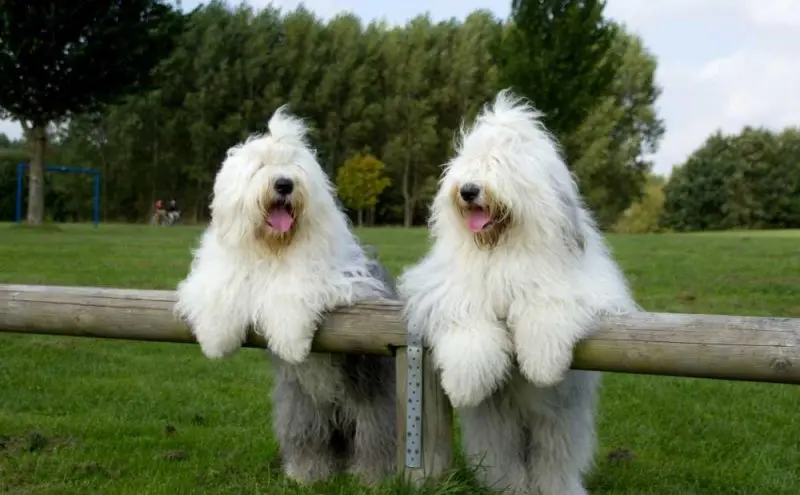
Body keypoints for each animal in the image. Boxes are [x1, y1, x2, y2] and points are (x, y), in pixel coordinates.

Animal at [177, 107, 398, 484]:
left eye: (295, 166)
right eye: (260, 166)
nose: (284, 184)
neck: (274, 247)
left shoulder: (343, 281)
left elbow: (292, 291)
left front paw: (292, 343)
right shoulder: (224, 271)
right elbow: (219, 291)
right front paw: (215, 341)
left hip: (371, 397)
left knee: (375, 437)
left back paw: (371, 477)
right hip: (300, 406)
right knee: (308, 438)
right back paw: (306, 473)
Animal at [400, 91, 636, 494]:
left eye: (502, 164)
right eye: (469, 164)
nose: (468, 190)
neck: (502, 249)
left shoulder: (579, 288)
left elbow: (546, 307)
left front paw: (541, 364)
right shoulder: (447, 288)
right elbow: (466, 320)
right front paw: (464, 382)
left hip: (561, 423)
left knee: (555, 461)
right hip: (495, 428)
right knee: (504, 460)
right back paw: (511, 488)